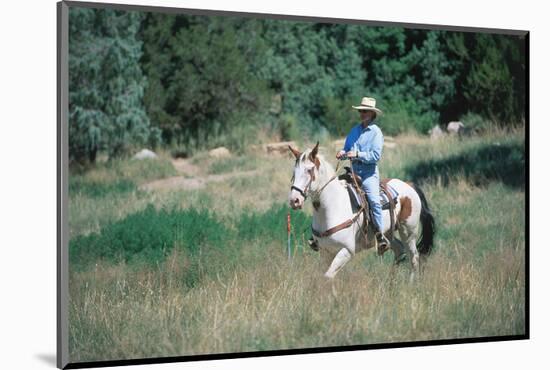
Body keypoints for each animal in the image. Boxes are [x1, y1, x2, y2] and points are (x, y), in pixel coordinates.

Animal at [288, 143, 436, 278]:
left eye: (309, 170)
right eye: (294, 172)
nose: (294, 200)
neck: (332, 207)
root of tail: (409, 185)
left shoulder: (347, 251)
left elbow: (328, 276)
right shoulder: (326, 251)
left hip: (408, 233)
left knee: (414, 257)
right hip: (388, 234)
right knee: (399, 250)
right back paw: (390, 283)